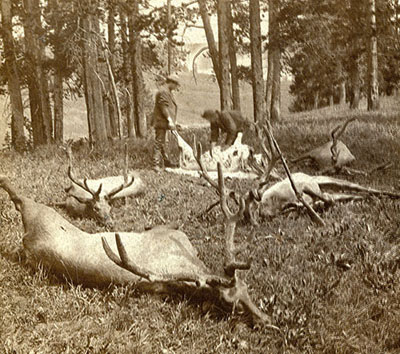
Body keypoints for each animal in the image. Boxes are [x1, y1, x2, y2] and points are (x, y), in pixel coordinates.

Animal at [0, 175, 272, 326]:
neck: (187, 259)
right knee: (22, 199)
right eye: (229, 304)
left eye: (247, 288)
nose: (266, 321)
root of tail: (29, 232)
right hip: (41, 215)